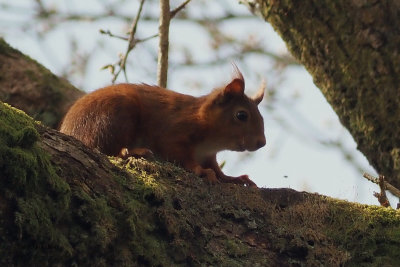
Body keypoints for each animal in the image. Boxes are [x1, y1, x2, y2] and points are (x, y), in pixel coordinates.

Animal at [59, 66, 266, 188]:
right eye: (241, 115)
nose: (262, 143)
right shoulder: (173, 132)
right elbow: (179, 155)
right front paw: (200, 170)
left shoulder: (208, 155)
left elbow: (218, 170)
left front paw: (233, 178)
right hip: (113, 116)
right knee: (103, 147)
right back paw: (133, 151)